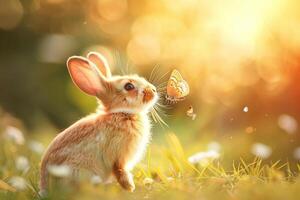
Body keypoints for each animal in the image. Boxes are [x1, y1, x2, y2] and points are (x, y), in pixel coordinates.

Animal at [39, 51, 159, 194]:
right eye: (128, 86)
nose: (153, 90)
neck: (122, 113)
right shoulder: (117, 155)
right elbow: (119, 170)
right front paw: (130, 187)